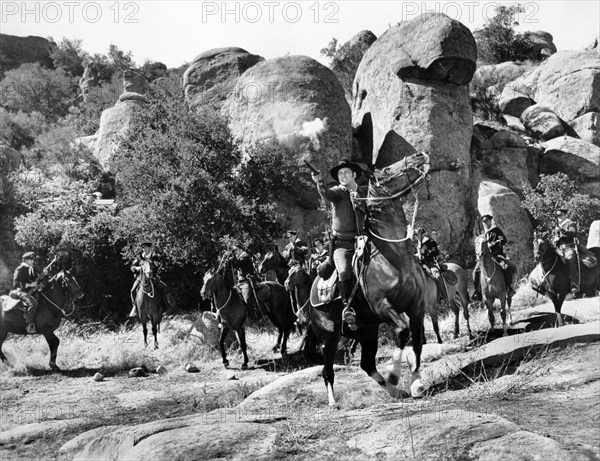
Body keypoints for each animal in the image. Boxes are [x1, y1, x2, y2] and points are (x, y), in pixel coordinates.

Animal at [308, 153, 434, 404]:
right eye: (386, 170)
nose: (419, 156)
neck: (397, 257)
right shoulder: (382, 306)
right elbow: (403, 331)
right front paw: (395, 373)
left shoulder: (417, 306)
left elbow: (417, 340)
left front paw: (416, 383)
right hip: (329, 337)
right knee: (327, 370)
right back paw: (333, 401)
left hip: (367, 331)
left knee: (367, 364)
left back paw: (396, 392)